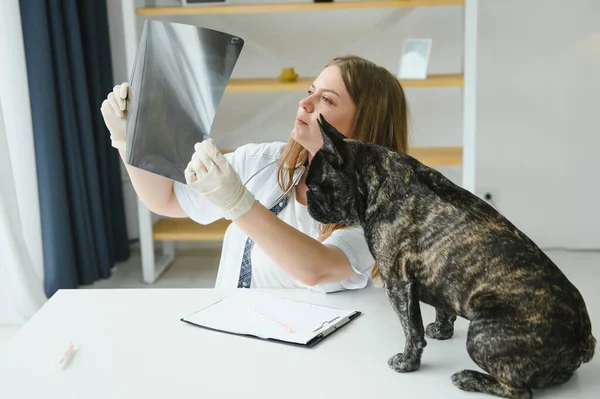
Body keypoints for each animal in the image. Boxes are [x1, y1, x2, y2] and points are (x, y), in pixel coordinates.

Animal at [308, 115, 596, 399]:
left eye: (312, 187)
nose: (308, 204)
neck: (374, 180)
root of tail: (583, 341)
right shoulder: (437, 276)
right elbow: (442, 307)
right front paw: (441, 330)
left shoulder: (397, 283)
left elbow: (411, 329)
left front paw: (407, 363)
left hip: (482, 333)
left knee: (518, 390)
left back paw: (468, 378)